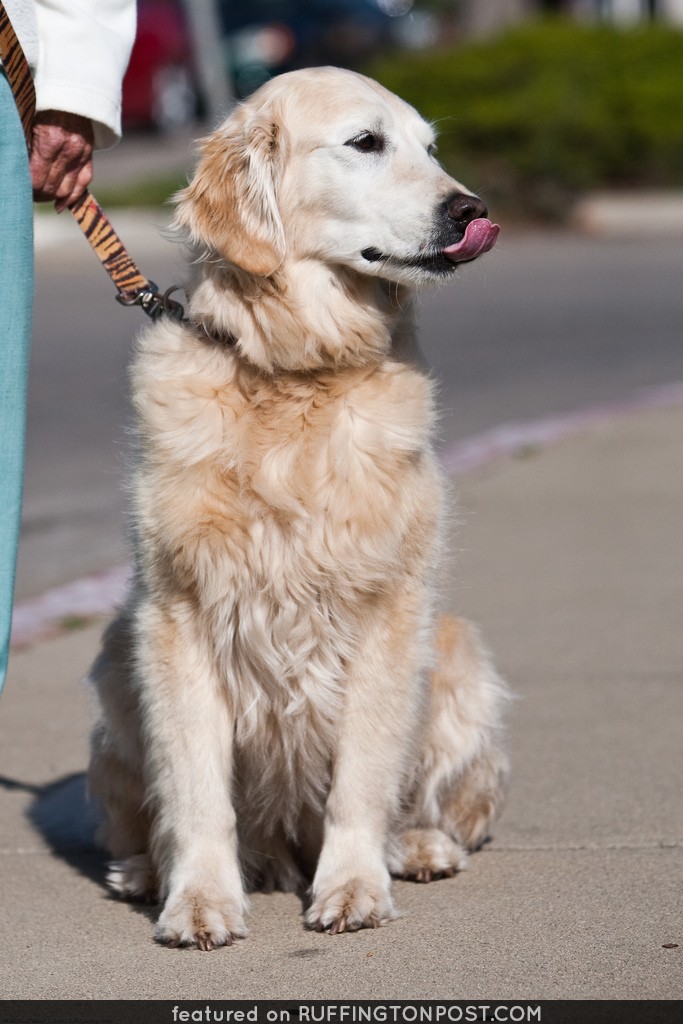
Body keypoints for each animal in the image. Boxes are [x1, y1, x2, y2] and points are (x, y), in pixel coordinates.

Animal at [87, 64, 507, 946]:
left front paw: (351, 887)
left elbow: (361, 775)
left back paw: (417, 845)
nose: (471, 210)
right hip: (114, 660)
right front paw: (198, 899)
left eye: (430, 147)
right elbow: (195, 790)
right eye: (365, 142)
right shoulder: (178, 612)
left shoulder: (386, 607)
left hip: (460, 658)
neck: (294, 370)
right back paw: (146, 870)